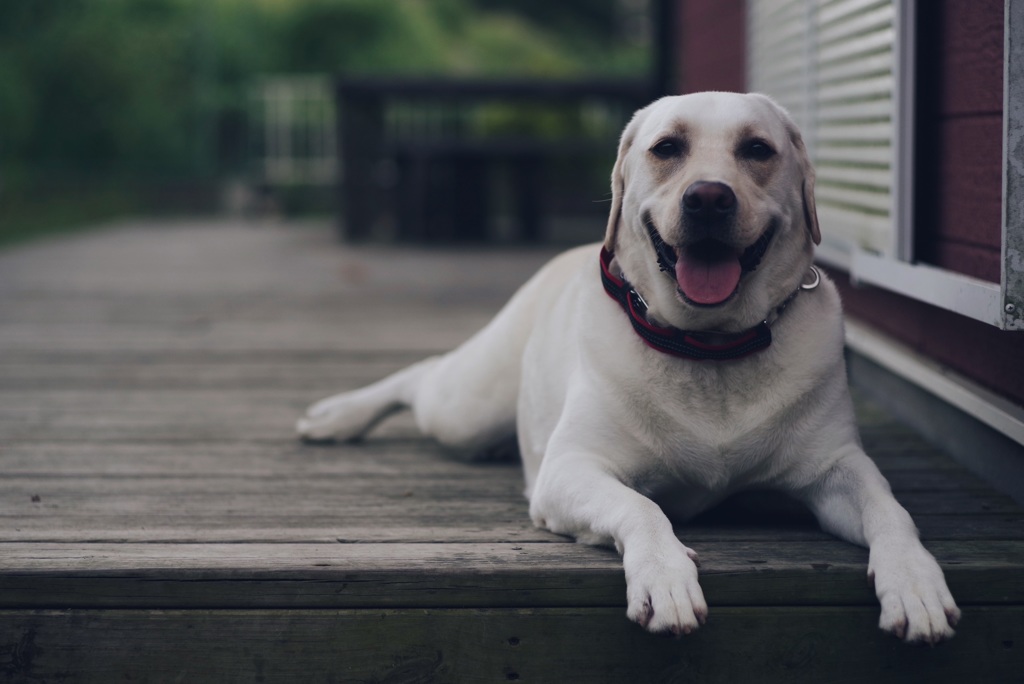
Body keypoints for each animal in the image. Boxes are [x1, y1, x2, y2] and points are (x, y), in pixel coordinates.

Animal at [299, 93, 958, 643]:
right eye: (667, 148)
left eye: (757, 150)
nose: (709, 197)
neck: (709, 348)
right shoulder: (569, 470)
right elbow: (643, 507)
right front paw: (665, 578)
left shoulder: (838, 467)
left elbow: (892, 511)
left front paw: (915, 583)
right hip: (465, 406)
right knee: (422, 377)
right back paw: (336, 416)